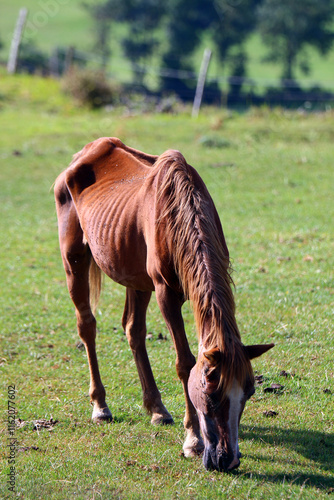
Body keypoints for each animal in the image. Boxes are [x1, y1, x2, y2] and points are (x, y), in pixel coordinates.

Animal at [54, 138, 274, 472]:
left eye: (248, 392)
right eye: (211, 394)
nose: (227, 460)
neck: (180, 214)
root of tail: (86, 151)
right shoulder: (165, 294)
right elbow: (184, 363)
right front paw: (193, 440)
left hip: (136, 278)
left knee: (133, 330)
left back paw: (157, 408)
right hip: (74, 261)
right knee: (87, 326)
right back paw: (100, 406)